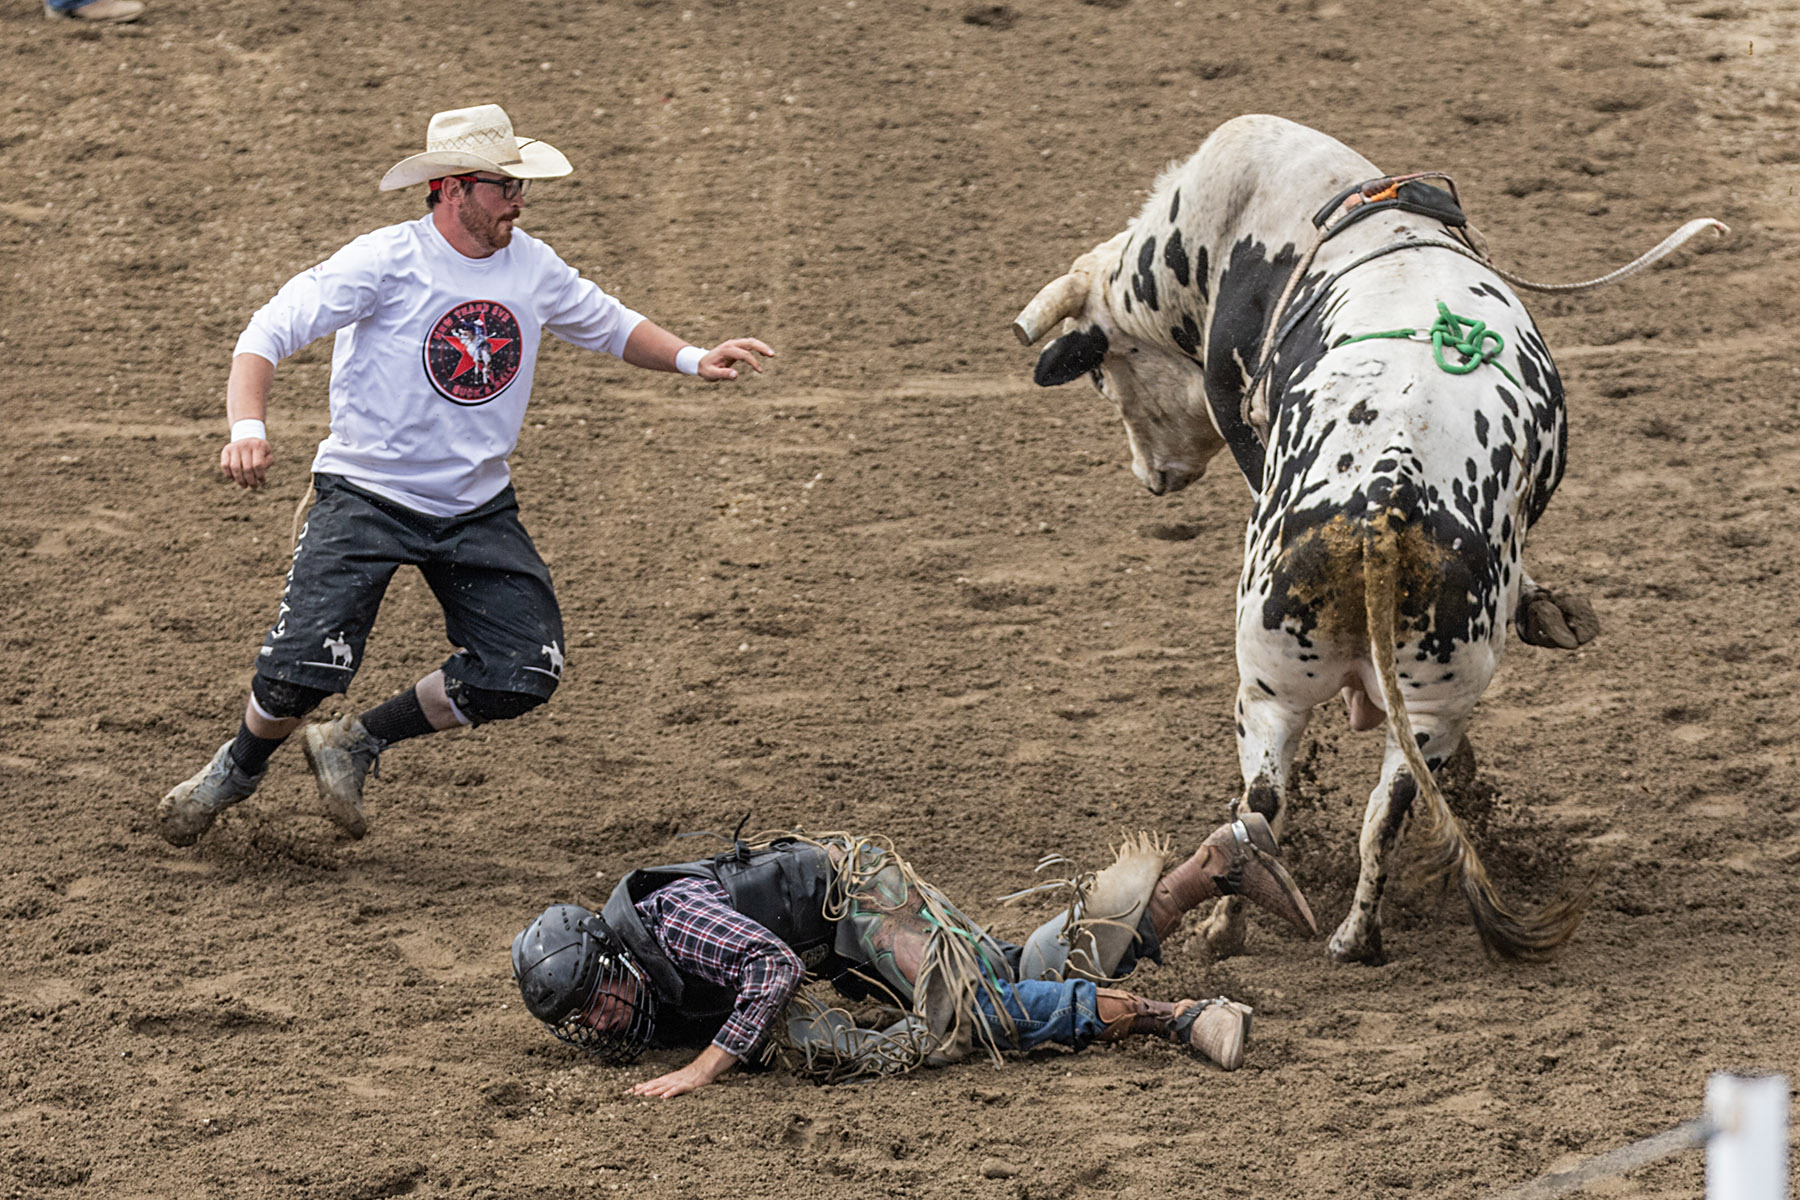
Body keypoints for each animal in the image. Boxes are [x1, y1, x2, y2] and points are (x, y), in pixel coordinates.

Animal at [1013, 114, 1596, 964]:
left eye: (1099, 374)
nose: (1151, 477)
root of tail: (1386, 502)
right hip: (1420, 701)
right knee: (1380, 809)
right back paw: (1355, 936)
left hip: (1267, 688)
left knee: (1263, 807)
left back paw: (1229, 930)